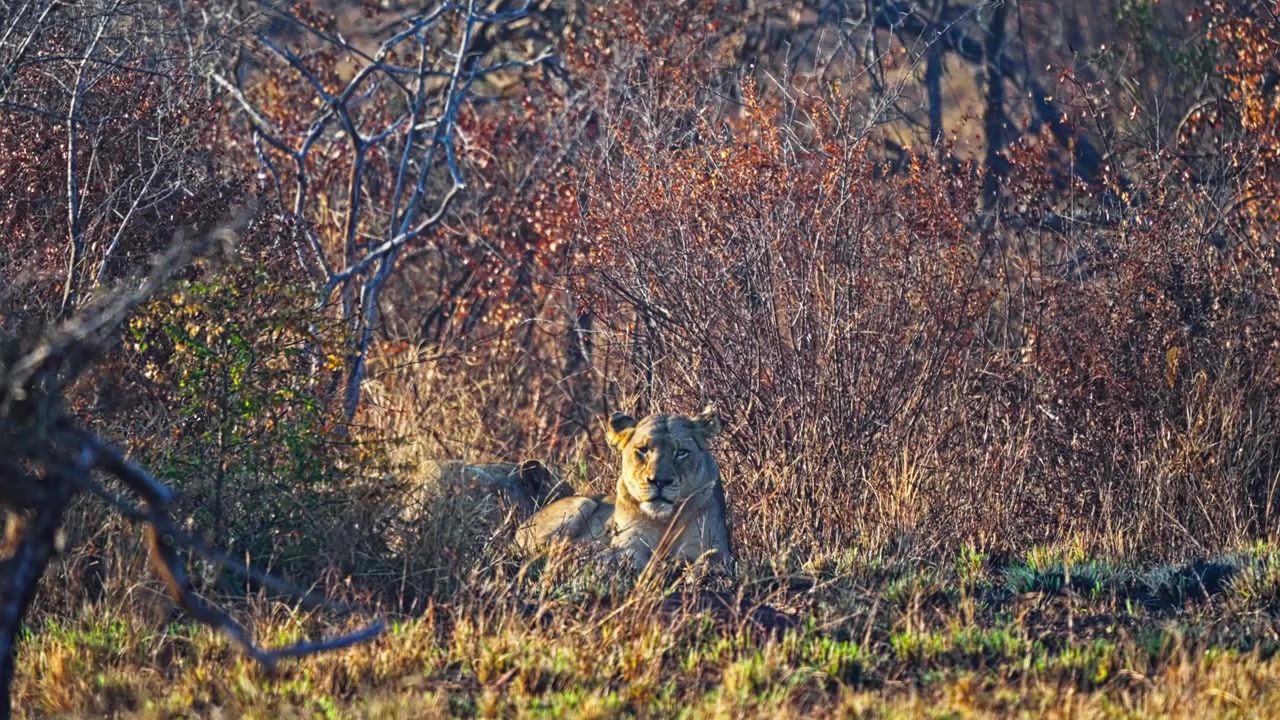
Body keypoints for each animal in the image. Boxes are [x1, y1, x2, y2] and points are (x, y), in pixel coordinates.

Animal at [515, 405, 733, 571]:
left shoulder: (709, 543)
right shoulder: (628, 542)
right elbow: (621, 557)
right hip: (581, 503)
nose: (659, 481)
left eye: (681, 452)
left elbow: (715, 557)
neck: (665, 520)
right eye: (643, 450)